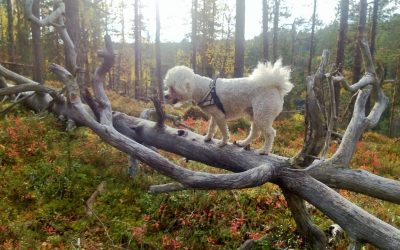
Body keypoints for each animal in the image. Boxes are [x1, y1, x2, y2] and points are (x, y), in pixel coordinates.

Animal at [164, 60, 292, 154]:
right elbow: (211, 127)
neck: (204, 89)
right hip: (255, 115)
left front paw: (223, 143)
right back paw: (243, 143)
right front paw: (208, 138)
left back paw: (264, 150)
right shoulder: (215, 114)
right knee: (255, 133)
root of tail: (275, 86)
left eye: (172, 88)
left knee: (270, 133)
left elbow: (224, 131)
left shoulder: (220, 116)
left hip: (263, 115)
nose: (165, 95)